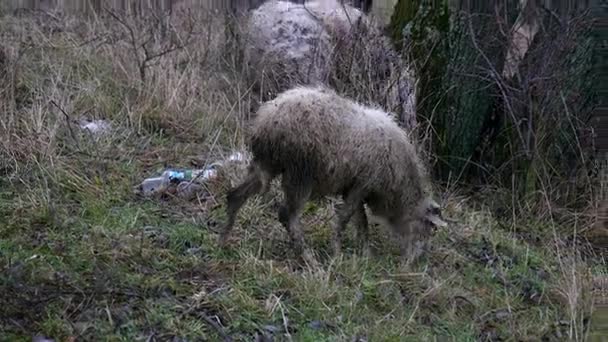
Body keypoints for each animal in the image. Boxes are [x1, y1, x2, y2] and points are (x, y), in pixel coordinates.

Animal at [218, 85, 446, 264]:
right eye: (428, 227)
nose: (414, 263)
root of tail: (266, 120)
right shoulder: (363, 184)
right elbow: (345, 219)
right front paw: (336, 252)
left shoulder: (354, 189)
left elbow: (361, 222)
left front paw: (365, 254)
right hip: (300, 174)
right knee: (287, 215)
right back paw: (308, 259)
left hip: (267, 164)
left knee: (235, 195)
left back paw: (224, 240)